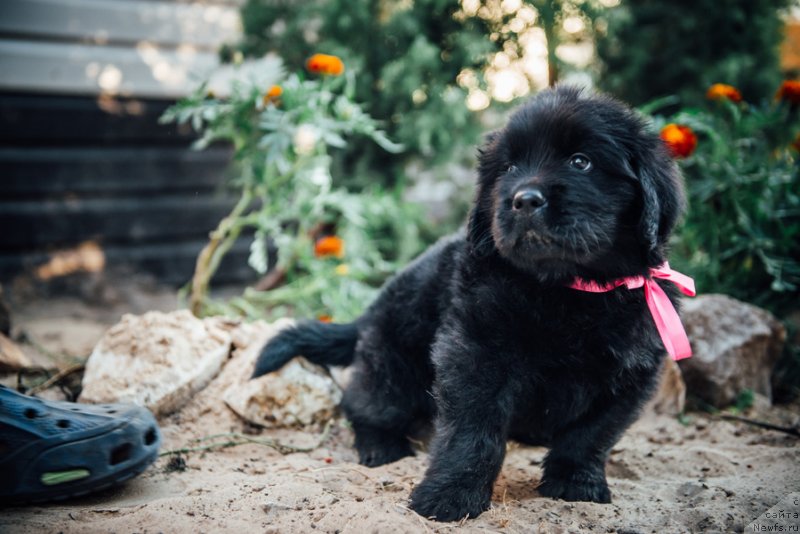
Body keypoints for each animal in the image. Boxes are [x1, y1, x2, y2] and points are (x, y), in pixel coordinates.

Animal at [253, 87, 692, 524]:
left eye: (581, 161)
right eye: (510, 167)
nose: (523, 200)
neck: (567, 288)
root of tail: (370, 311)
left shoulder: (631, 374)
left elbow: (591, 435)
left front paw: (576, 483)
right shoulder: (476, 354)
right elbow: (473, 432)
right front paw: (451, 495)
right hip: (391, 367)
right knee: (364, 405)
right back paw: (383, 447)